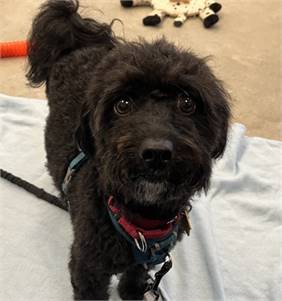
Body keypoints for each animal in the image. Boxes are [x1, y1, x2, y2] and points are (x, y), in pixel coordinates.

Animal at [25, 1, 229, 298]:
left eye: (187, 102)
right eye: (122, 104)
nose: (157, 153)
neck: (143, 225)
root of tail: (77, 44)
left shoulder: (145, 259)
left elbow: (136, 270)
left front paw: (133, 291)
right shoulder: (87, 268)